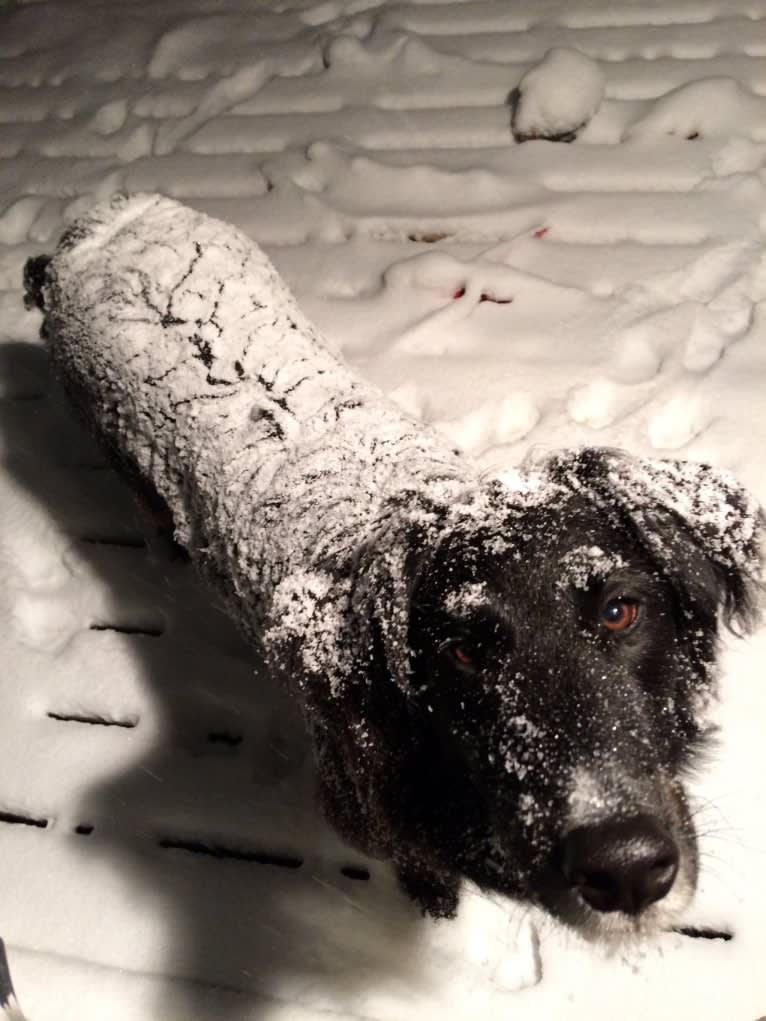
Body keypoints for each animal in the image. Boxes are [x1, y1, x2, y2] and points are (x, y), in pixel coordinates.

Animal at [22, 191, 763, 939]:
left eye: (620, 611)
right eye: (462, 652)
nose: (625, 869)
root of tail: (92, 227)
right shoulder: (364, 815)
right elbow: (423, 873)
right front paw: (440, 912)